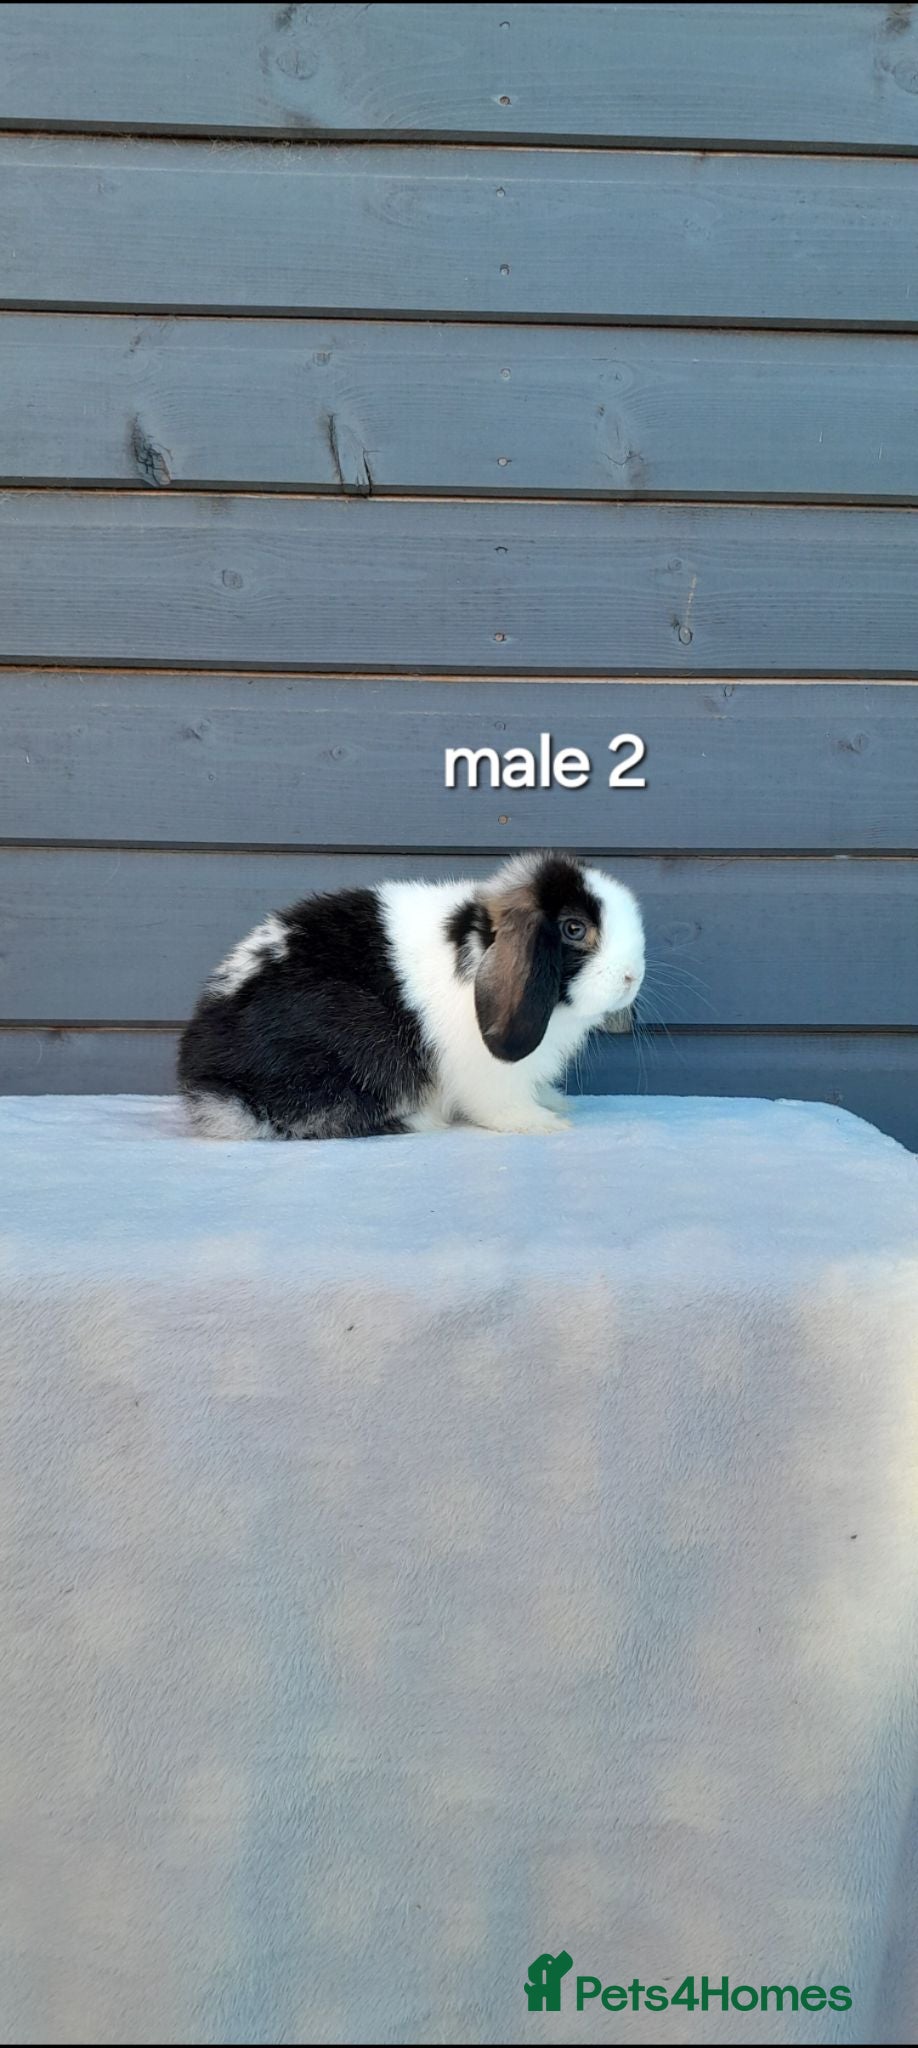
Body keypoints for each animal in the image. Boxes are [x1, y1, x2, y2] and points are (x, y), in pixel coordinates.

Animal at [177, 851, 644, 1140]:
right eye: (574, 928)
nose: (631, 976)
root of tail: (209, 1082)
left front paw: (554, 1103)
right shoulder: (489, 1075)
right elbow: (500, 1103)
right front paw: (539, 1123)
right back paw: (420, 1118)